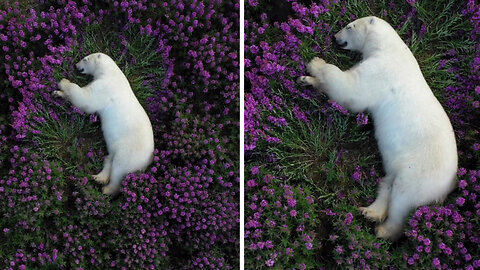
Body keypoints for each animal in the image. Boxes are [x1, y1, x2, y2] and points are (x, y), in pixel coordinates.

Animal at [55, 52, 155, 195]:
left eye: (85, 59)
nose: (76, 65)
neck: (111, 73)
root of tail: (149, 161)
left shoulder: (105, 87)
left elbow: (86, 99)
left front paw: (63, 82)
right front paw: (57, 93)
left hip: (129, 153)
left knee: (119, 169)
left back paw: (107, 189)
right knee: (109, 159)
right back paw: (98, 178)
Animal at [298, 15, 460, 239]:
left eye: (349, 26)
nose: (335, 37)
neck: (390, 48)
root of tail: (450, 185)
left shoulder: (380, 71)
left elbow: (351, 90)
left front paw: (315, 63)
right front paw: (306, 80)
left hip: (420, 173)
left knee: (402, 199)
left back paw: (383, 230)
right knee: (387, 183)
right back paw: (369, 212)